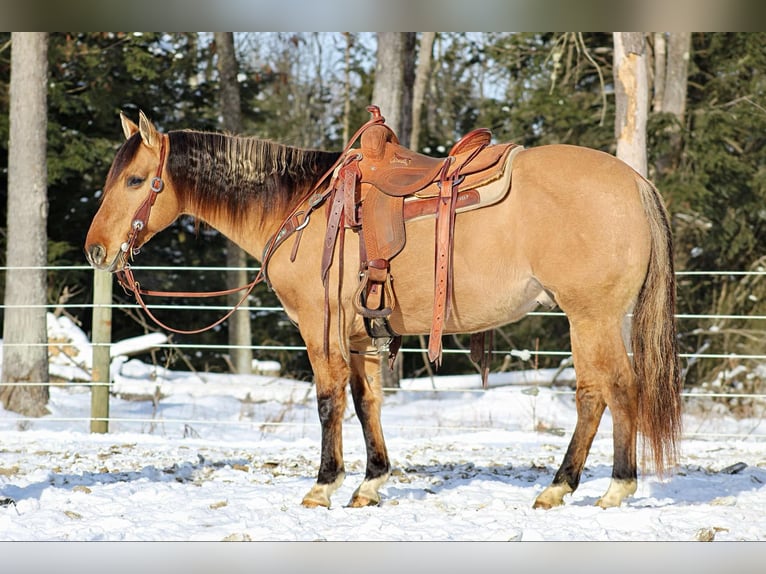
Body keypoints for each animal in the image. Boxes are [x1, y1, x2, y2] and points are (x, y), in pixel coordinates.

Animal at [85, 109, 684, 512]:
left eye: (135, 180)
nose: (95, 250)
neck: (301, 207)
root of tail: (634, 182)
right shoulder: (359, 336)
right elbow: (365, 402)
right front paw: (370, 481)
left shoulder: (319, 327)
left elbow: (328, 402)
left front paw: (323, 484)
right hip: (599, 320)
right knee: (603, 393)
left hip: (591, 317)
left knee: (609, 390)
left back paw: (601, 486)